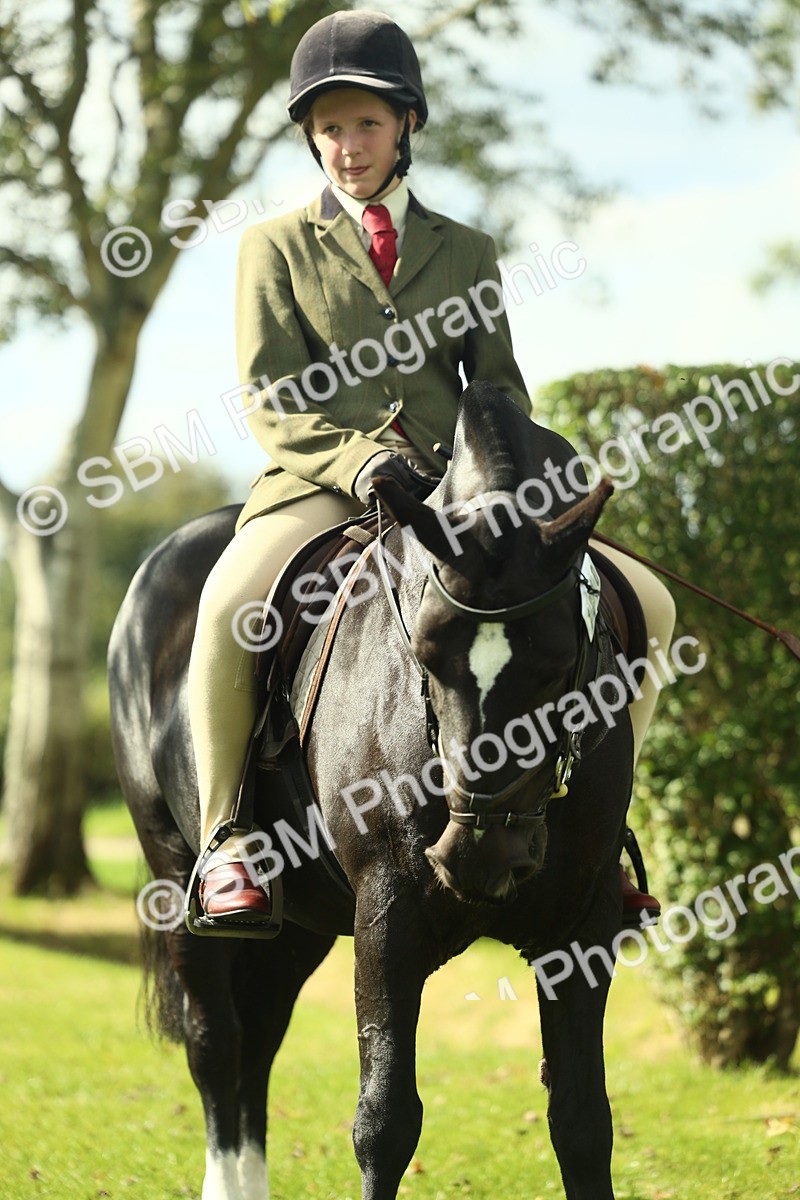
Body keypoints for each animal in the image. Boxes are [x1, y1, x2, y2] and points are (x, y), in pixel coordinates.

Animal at [108, 381, 635, 1200]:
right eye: (427, 650)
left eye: (557, 663)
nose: (481, 855)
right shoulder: (389, 910)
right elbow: (385, 1122)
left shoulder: (585, 922)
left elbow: (582, 1120)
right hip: (174, 876)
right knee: (216, 1044)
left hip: (301, 921)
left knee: (259, 1036)